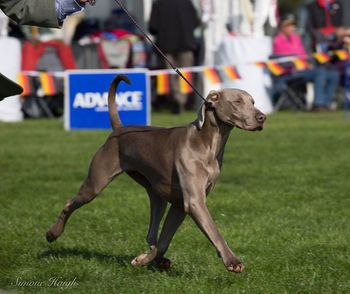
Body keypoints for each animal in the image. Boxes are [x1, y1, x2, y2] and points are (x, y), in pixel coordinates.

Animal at [46, 74, 266, 272]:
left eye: (253, 102)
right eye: (237, 102)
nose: (262, 117)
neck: (207, 143)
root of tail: (119, 129)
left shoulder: (180, 204)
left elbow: (163, 241)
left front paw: (144, 259)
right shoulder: (194, 201)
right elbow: (214, 231)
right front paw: (232, 261)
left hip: (156, 194)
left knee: (152, 234)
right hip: (96, 182)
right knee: (70, 203)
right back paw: (52, 233)